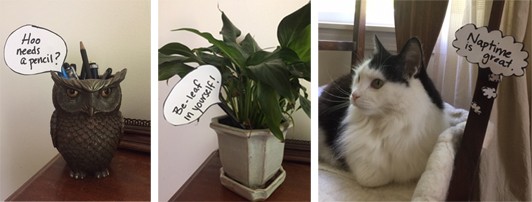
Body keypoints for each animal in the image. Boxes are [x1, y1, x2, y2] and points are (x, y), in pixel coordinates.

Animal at [320, 35, 448, 188]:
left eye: (377, 83)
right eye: (358, 78)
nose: (354, 95)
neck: (390, 124)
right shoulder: (365, 168)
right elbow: (375, 177)